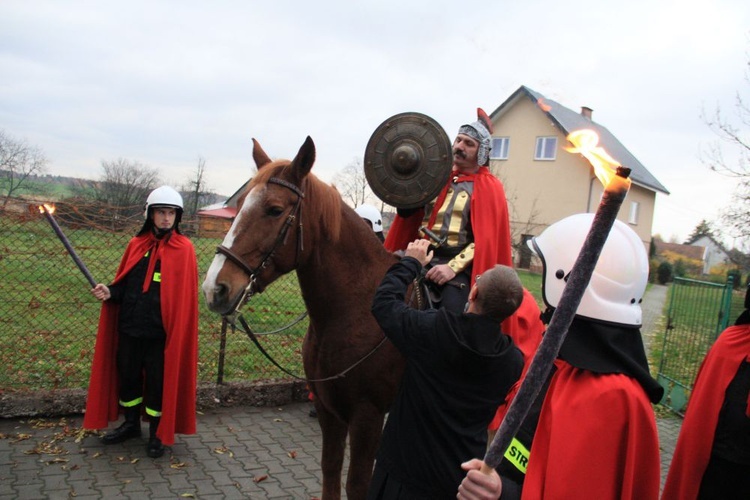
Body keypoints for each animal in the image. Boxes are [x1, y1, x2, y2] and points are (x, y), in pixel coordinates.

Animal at [203, 137, 406, 500]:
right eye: (240, 206)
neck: (359, 311)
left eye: (274, 209)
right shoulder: (329, 410)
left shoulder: (367, 416)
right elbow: (330, 470)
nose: (215, 288)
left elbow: (357, 484)